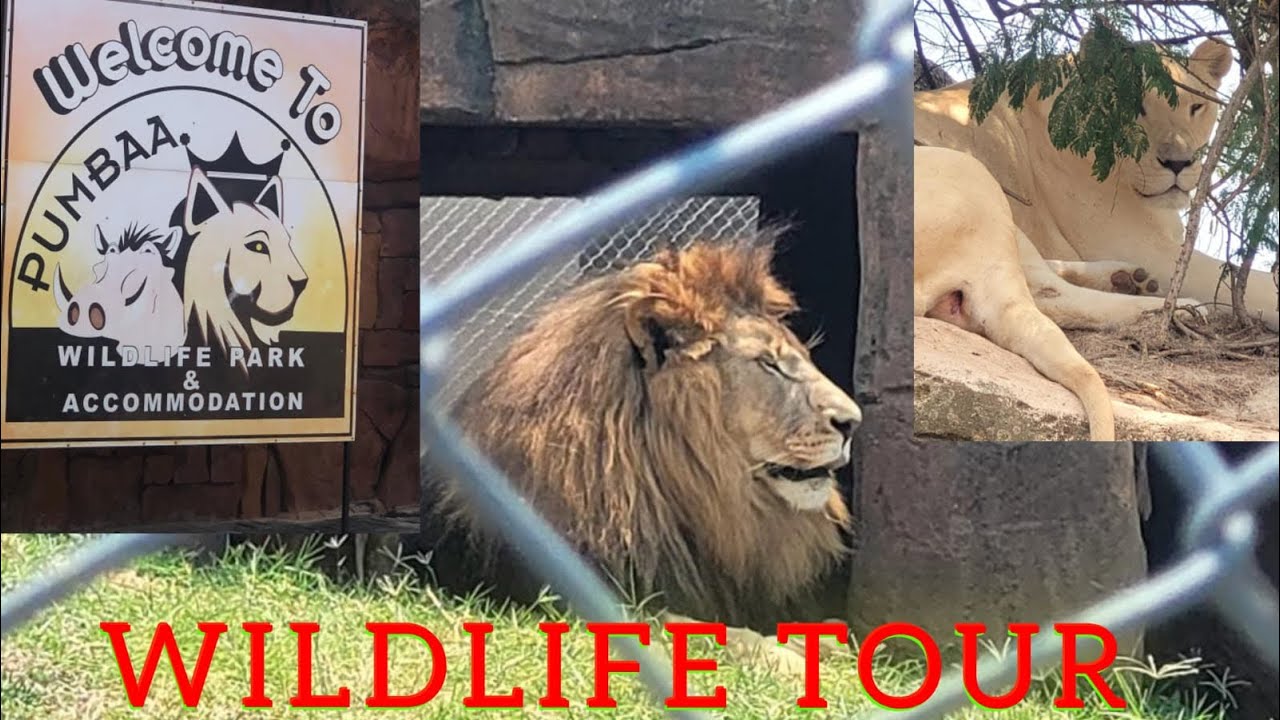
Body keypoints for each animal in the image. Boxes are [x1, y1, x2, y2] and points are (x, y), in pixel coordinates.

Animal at [914, 37, 1278, 334]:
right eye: (1136, 106)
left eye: (1196, 106)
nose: (1179, 163)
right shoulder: (1146, 246)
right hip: (968, 174)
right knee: (1043, 297)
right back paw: (1178, 309)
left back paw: (1128, 279)